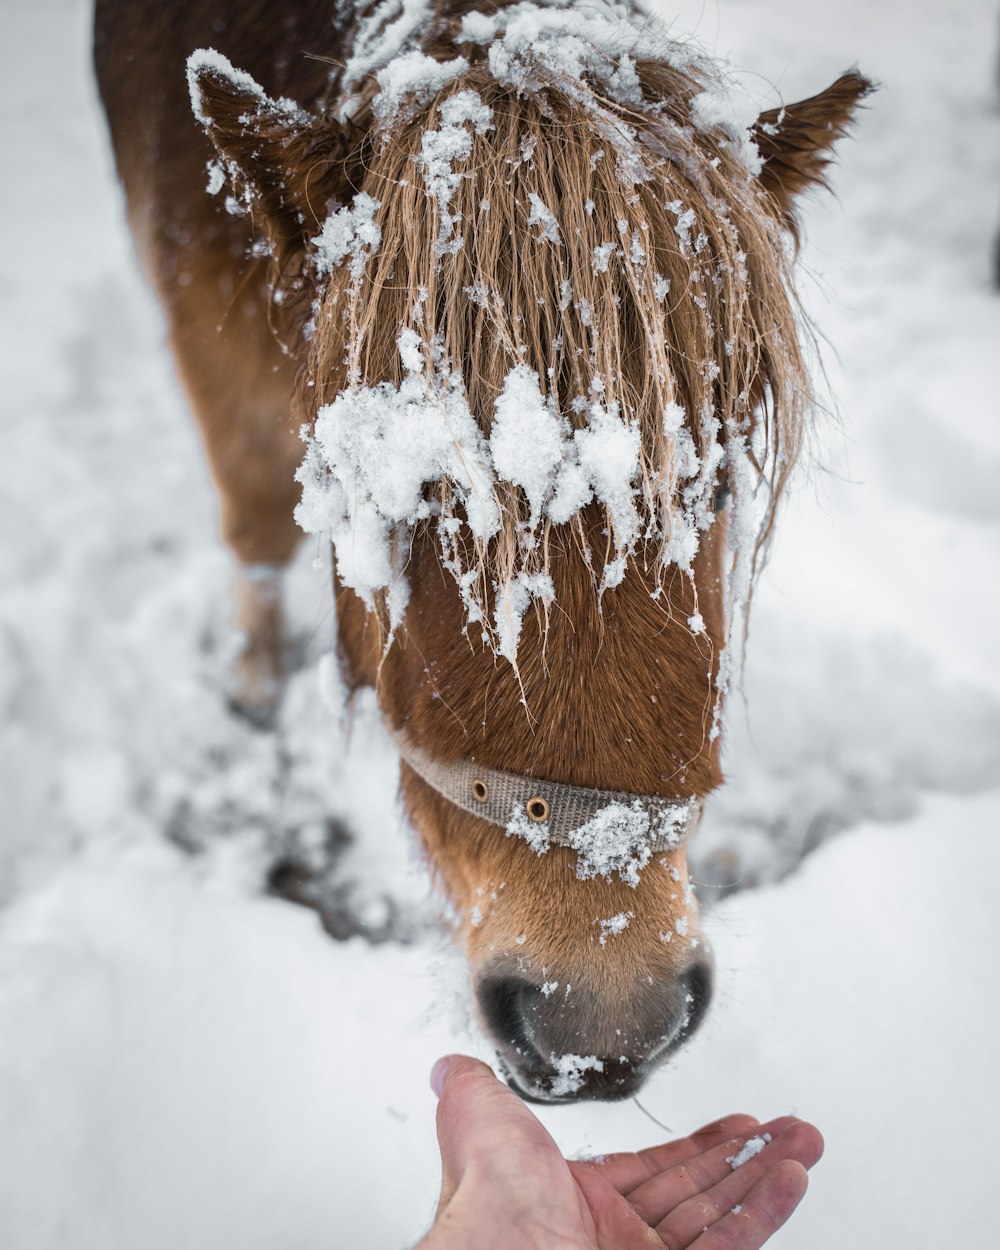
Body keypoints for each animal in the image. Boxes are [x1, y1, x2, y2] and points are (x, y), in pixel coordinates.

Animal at [97, 0, 870, 1100]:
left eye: (714, 486)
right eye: (410, 492)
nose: (605, 1022)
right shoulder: (206, 337)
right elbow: (253, 523)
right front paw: (249, 688)